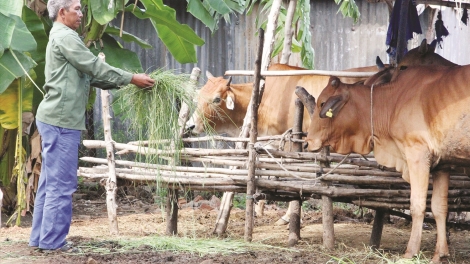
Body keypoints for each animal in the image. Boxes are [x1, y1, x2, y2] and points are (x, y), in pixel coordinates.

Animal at [302, 63, 468, 262]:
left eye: (322, 103)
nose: (307, 142)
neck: (393, 102)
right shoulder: (442, 165)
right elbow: (439, 207)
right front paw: (440, 255)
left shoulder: (417, 155)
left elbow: (418, 205)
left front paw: (410, 252)